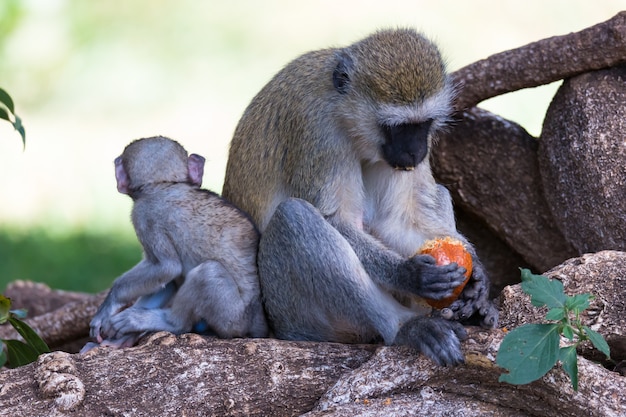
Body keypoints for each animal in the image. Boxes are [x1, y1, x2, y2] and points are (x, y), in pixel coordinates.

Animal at [84, 135, 266, 350]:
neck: (166, 184)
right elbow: (167, 279)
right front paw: (117, 337)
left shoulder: (143, 214)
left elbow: (166, 267)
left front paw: (109, 304)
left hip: (234, 318)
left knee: (208, 273)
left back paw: (171, 323)